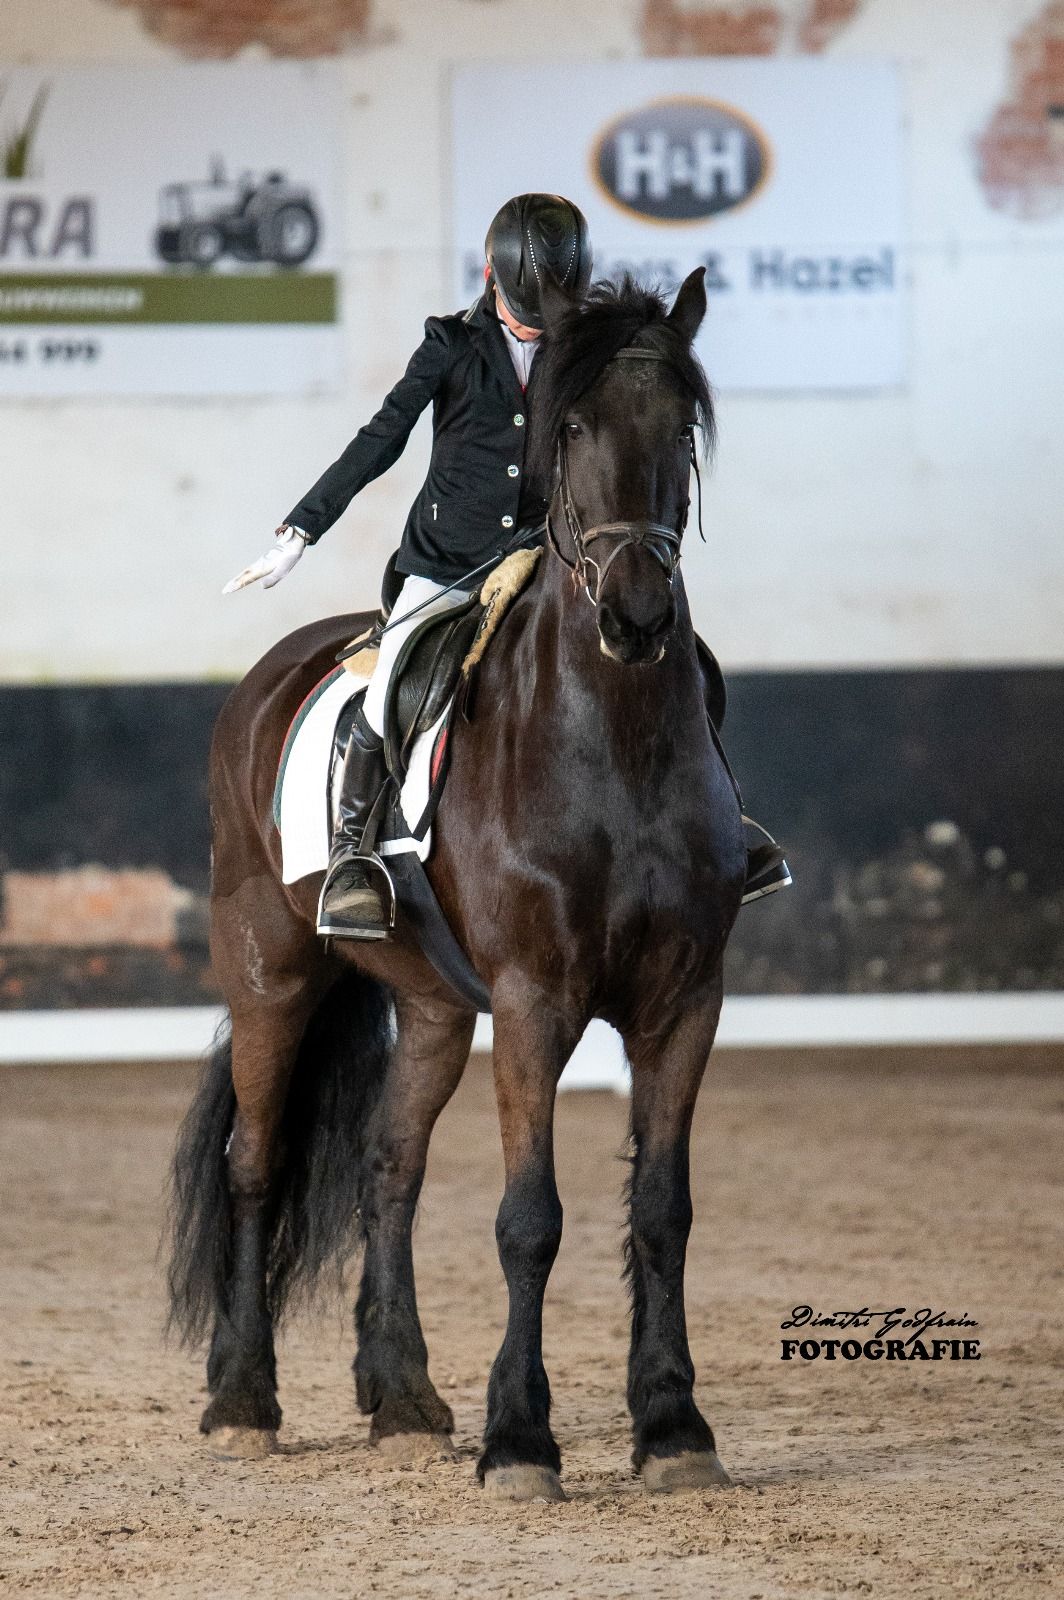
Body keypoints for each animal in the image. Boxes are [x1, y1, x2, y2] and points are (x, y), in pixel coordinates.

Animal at [168, 266, 745, 1500]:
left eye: (682, 427)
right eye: (567, 428)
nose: (636, 614)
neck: (614, 737)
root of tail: (273, 672)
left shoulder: (685, 1000)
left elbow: (662, 1211)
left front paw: (674, 1427)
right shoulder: (533, 1000)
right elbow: (530, 1218)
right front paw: (520, 1441)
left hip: (431, 1003)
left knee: (389, 1167)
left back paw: (402, 1399)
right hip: (269, 973)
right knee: (255, 1161)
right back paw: (242, 1399)